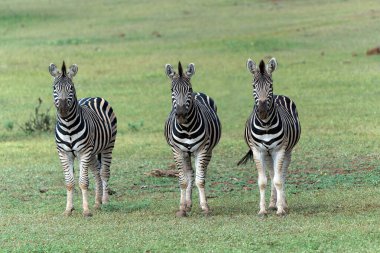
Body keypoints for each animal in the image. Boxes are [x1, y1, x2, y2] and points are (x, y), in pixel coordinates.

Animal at [49, 61, 117, 217]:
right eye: (54, 88)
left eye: (71, 88)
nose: (63, 109)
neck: (68, 126)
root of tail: (94, 97)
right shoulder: (64, 153)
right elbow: (69, 182)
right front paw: (68, 210)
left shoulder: (83, 152)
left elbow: (83, 182)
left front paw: (86, 210)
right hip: (92, 152)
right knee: (97, 172)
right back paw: (97, 203)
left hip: (108, 146)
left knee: (104, 172)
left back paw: (104, 201)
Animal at [164, 61, 223, 217]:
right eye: (172, 89)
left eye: (189, 89)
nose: (180, 114)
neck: (187, 128)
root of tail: (198, 93)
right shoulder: (177, 151)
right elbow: (183, 180)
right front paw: (182, 208)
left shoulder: (202, 149)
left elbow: (200, 180)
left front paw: (205, 207)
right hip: (186, 153)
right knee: (190, 174)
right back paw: (187, 203)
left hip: (207, 151)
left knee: (199, 174)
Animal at [239, 57, 302, 215]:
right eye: (253, 85)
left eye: (270, 85)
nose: (262, 111)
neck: (266, 125)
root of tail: (278, 95)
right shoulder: (258, 151)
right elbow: (263, 182)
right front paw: (262, 210)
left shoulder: (279, 149)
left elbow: (279, 180)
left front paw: (281, 209)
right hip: (267, 154)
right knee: (273, 174)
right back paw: (273, 203)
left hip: (287, 151)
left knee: (281, 174)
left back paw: (282, 203)